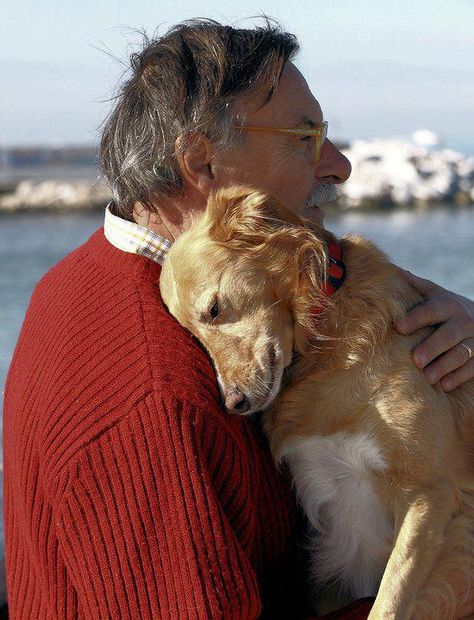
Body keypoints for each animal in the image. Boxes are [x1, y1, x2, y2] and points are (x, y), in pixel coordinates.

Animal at [160, 186, 474, 616]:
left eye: (214, 309)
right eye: (191, 336)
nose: (234, 403)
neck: (324, 343)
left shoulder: (431, 494)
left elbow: (388, 603)